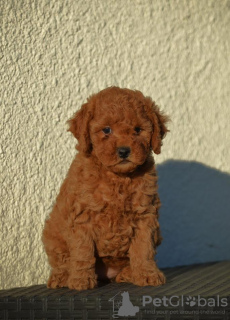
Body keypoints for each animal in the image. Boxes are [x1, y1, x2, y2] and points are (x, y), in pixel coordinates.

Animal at [42, 87, 169, 290]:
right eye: (107, 130)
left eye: (137, 130)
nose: (124, 151)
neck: (118, 177)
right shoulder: (82, 217)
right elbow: (83, 251)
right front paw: (81, 280)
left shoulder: (145, 216)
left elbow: (144, 249)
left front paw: (147, 274)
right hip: (53, 236)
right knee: (62, 261)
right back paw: (62, 277)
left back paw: (127, 273)